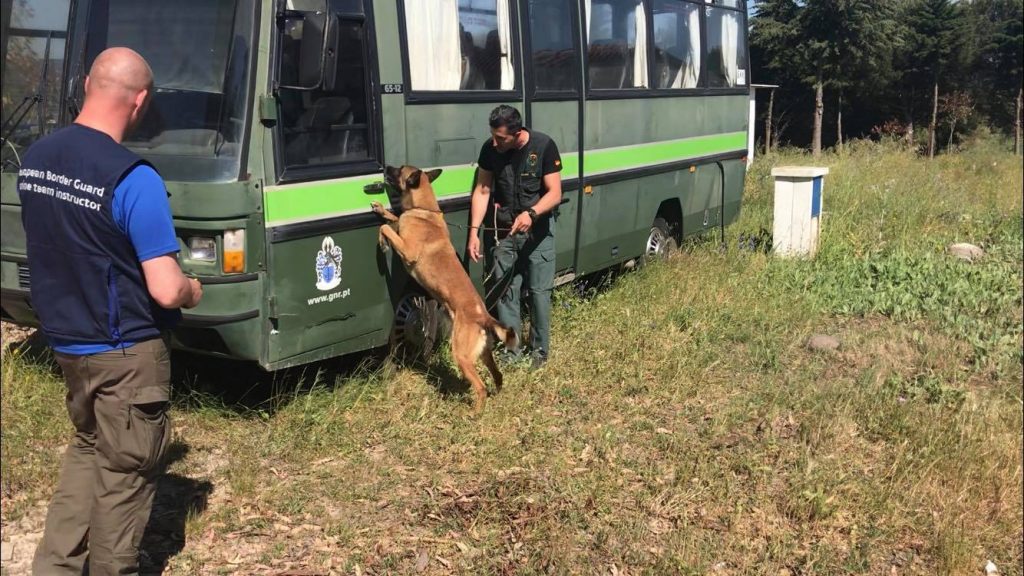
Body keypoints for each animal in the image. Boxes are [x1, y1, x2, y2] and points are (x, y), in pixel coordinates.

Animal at [374, 163, 520, 409]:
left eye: (400, 169)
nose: (386, 166)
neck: (424, 209)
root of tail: (483, 316)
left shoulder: (407, 250)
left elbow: (386, 228)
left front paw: (383, 242)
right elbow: (393, 218)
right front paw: (380, 209)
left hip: (460, 354)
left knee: (480, 387)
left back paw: (475, 413)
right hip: (483, 353)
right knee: (498, 375)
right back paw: (498, 397)